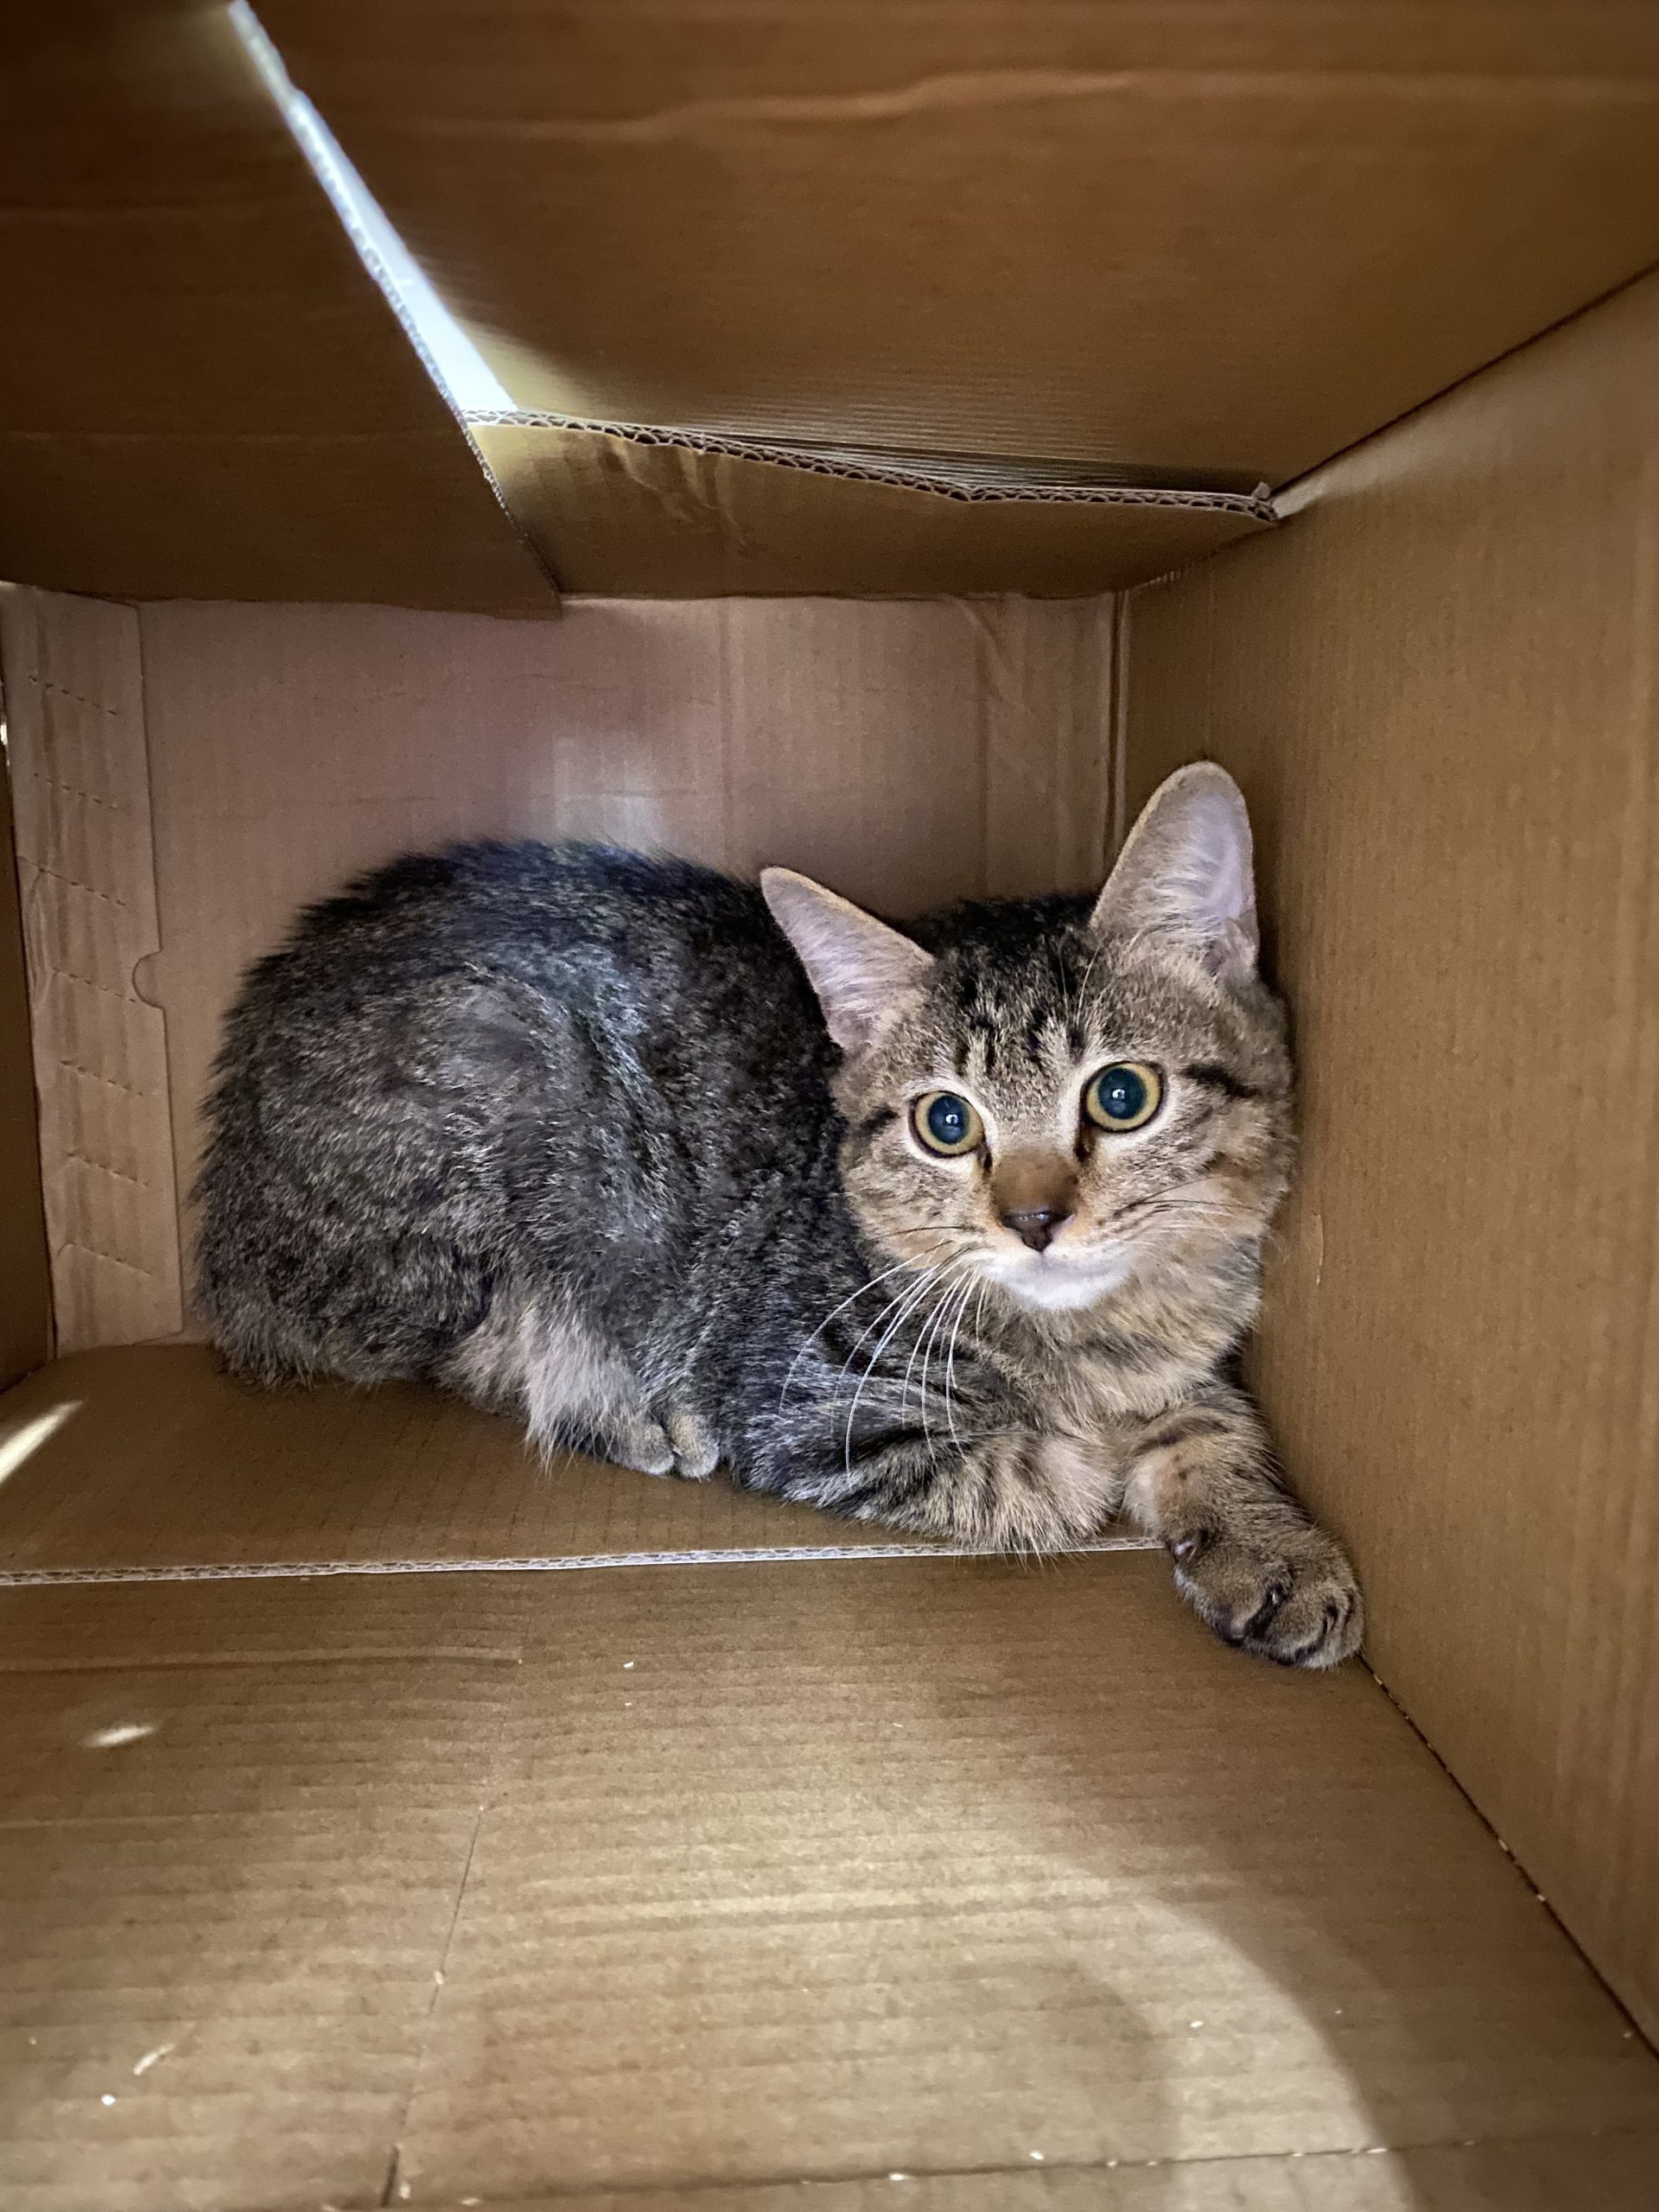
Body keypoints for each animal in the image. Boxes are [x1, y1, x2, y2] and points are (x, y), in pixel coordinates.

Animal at [195, 762, 1361, 1667]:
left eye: (1123, 1095)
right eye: (946, 1122)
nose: (1034, 1220)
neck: (1096, 1333)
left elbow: (1210, 1419)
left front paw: (1277, 1547)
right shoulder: (818, 1410)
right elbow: (1049, 1478)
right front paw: (1091, 1447)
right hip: (496, 1104)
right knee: (479, 1352)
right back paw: (635, 1413)